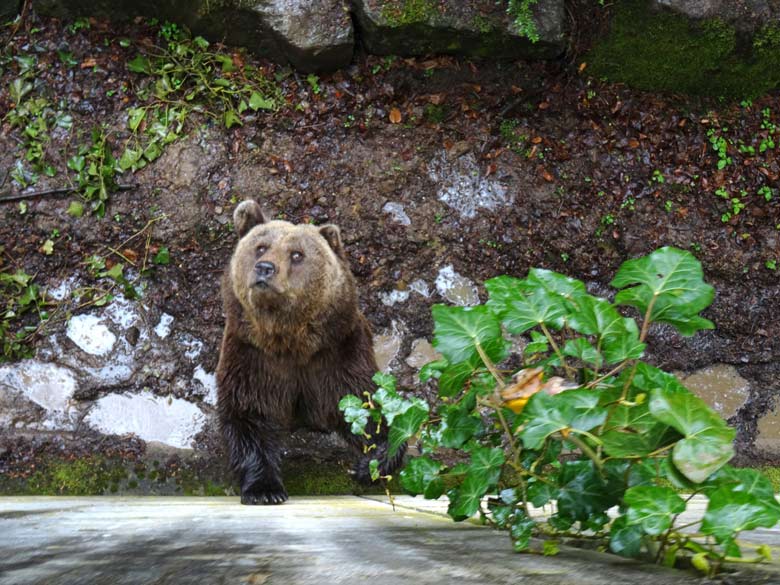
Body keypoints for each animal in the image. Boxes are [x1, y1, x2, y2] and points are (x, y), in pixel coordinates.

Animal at [216, 201, 406, 502]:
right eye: (261, 247)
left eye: (297, 254)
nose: (265, 268)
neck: (291, 341)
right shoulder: (252, 355)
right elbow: (250, 412)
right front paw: (264, 489)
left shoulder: (338, 352)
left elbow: (362, 404)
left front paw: (369, 464)